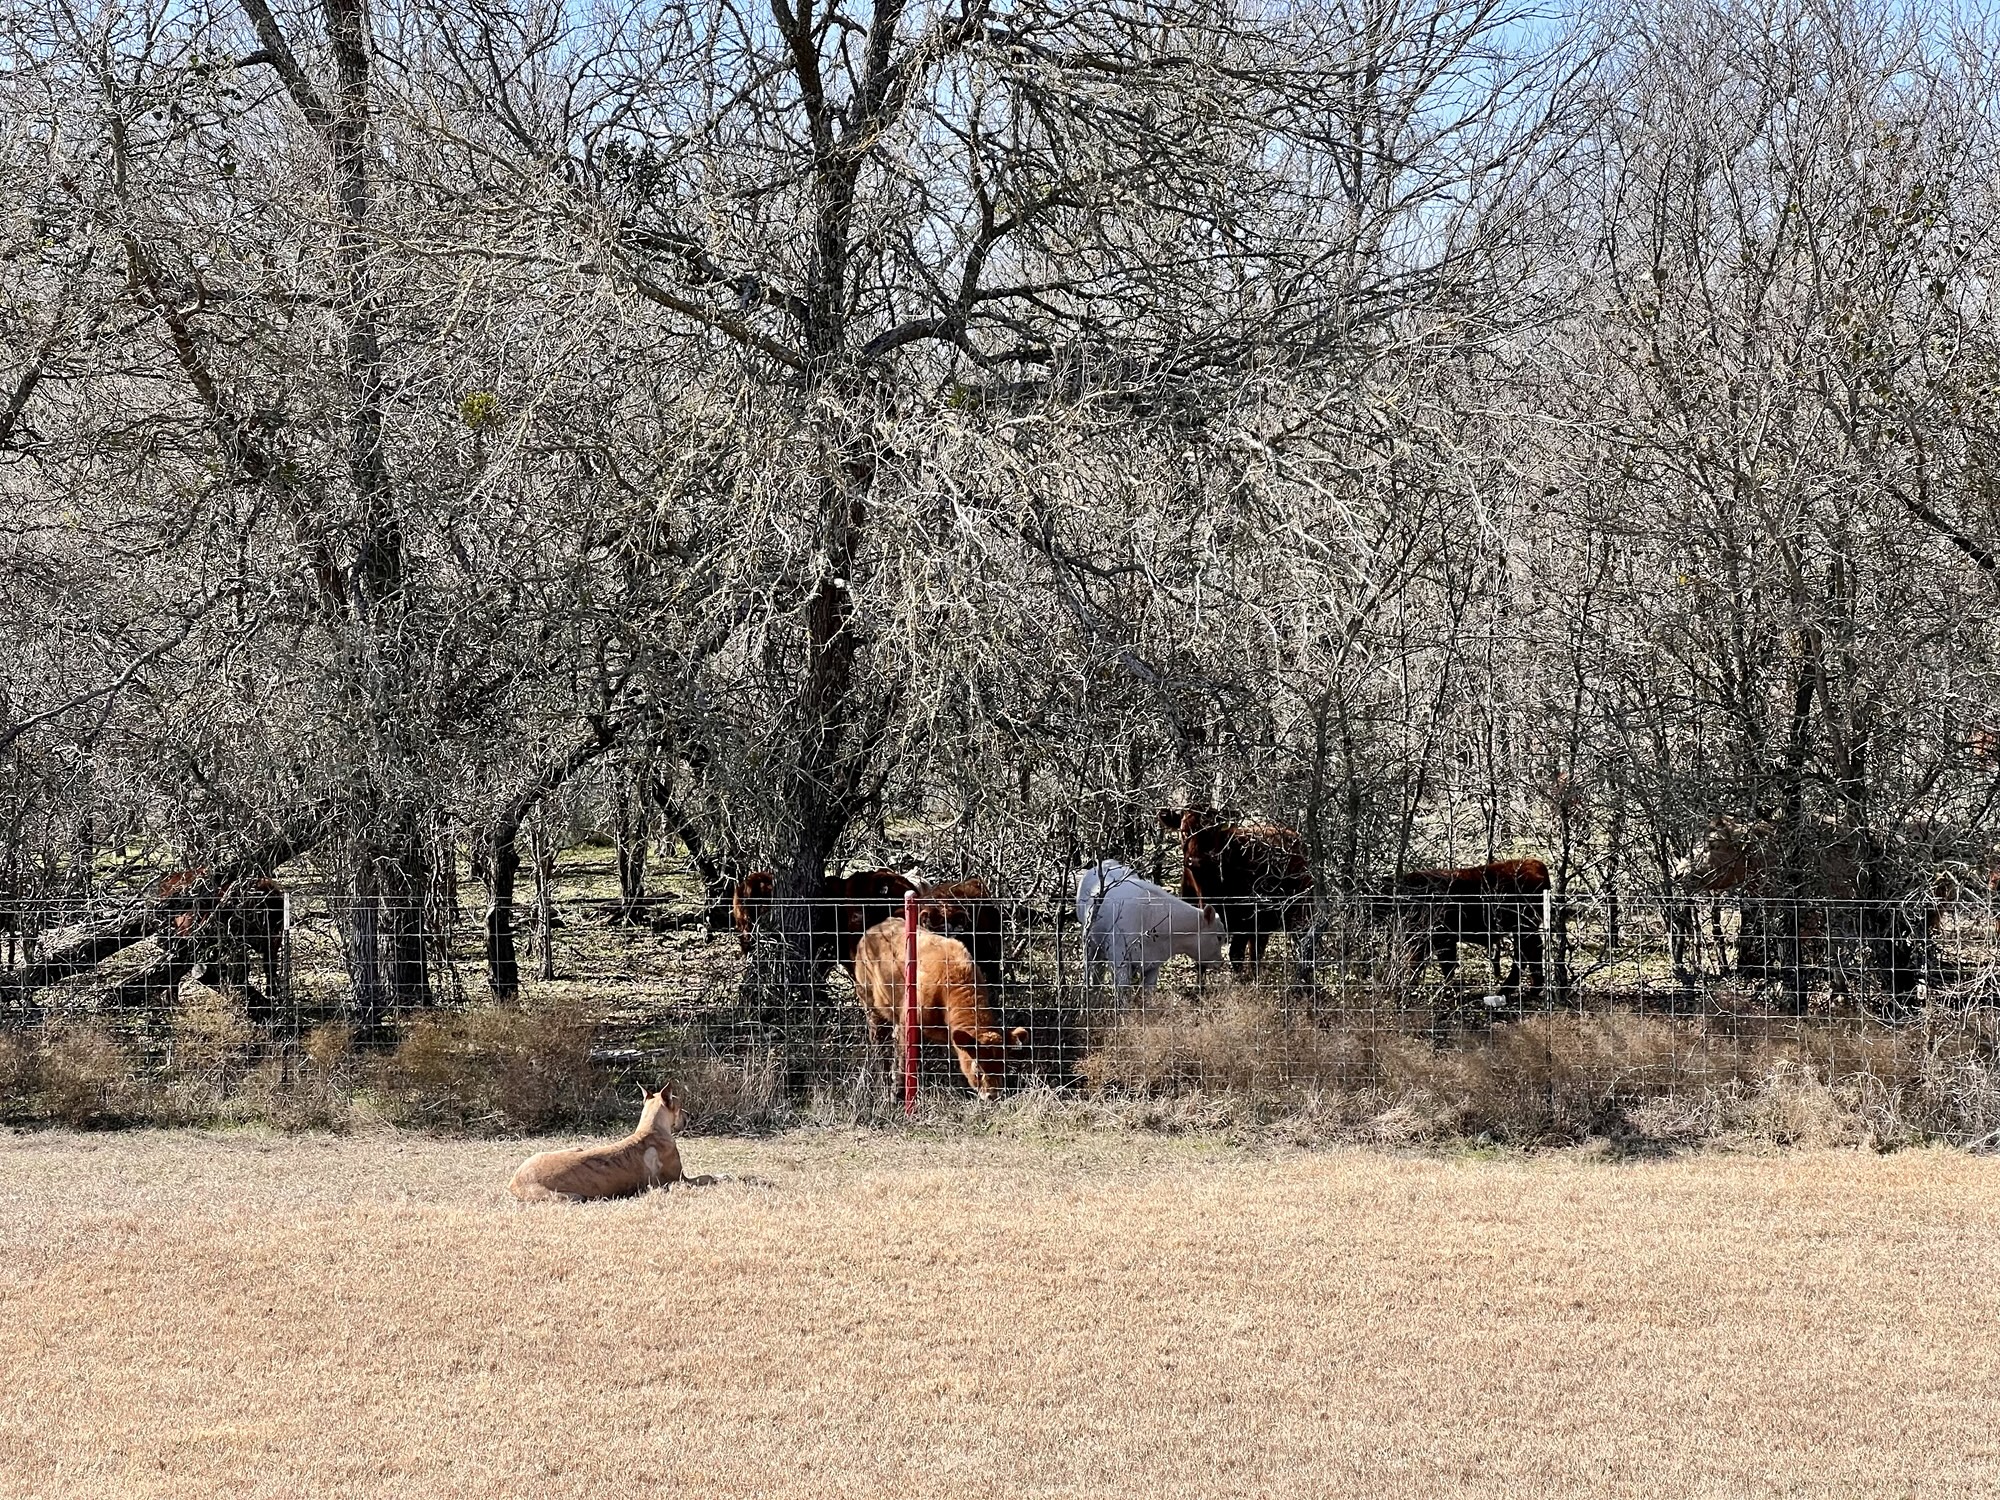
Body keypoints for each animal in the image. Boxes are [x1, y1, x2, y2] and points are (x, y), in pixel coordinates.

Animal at [508, 1083, 715, 1201]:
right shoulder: (681, 1179)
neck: (651, 1128)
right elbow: (708, 1177)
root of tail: (514, 1182)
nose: (689, 1115)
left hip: (576, 1148)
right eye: (679, 1107)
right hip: (571, 1197)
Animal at [852, 918, 1026, 1098]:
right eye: (978, 1069)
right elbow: (903, 1061)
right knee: (877, 1042)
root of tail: (874, 929)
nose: (993, 1095)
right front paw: (897, 1093)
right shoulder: (907, 1025)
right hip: (868, 1001)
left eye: (1003, 1066)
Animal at [1075, 861, 1225, 996]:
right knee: (1092, 966)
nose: (1220, 962)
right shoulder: (1119, 961)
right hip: (1089, 941)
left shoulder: (1153, 965)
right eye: (1219, 937)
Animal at [1159, 808, 1313, 975]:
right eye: (1184, 831)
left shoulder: (1244, 922)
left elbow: (1236, 954)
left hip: (1299, 913)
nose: (1196, 861)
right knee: (1257, 952)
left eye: (1211, 832)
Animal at [1376, 858, 1549, 996]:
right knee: (1531, 950)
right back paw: (1532, 988)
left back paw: (1510, 989)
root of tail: (1535, 864)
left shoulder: (1440, 939)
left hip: (1524, 927)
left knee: (1527, 951)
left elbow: (1438, 964)